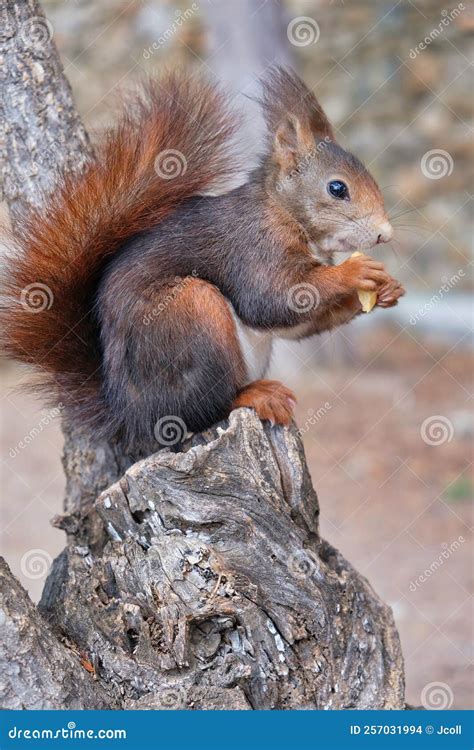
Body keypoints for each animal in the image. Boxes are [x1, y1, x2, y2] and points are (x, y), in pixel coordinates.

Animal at [1, 68, 404, 452]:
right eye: (337, 188)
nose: (385, 234)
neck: (280, 210)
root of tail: (128, 414)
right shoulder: (252, 249)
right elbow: (273, 299)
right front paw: (354, 271)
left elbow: (297, 323)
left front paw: (386, 290)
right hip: (191, 310)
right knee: (199, 411)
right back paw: (255, 395)